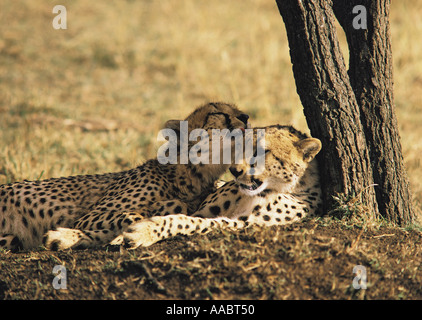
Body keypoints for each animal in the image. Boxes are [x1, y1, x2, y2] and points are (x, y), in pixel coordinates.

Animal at [122, 124, 324, 248]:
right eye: (241, 146)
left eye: (262, 151)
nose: (234, 171)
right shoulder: (203, 210)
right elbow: (189, 217)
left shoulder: (247, 224)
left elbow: (193, 222)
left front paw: (144, 231)